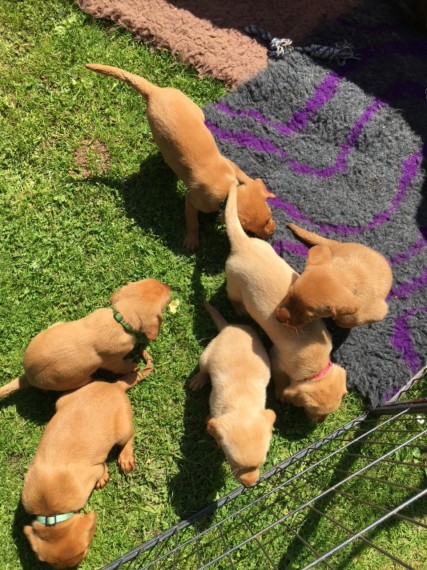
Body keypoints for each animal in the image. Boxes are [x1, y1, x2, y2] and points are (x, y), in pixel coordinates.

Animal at [0, 278, 171, 398]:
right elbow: (123, 366)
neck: (119, 319)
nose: (167, 285)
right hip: (80, 380)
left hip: (56, 325)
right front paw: (133, 366)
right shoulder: (114, 361)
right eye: (166, 298)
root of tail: (28, 377)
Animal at [21, 370, 144, 564]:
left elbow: (101, 468)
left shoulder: (91, 473)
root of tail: (114, 386)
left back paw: (125, 457)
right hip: (62, 402)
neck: (51, 513)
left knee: (130, 437)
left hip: (123, 429)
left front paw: (103, 477)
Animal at [85, 63, 276, 250]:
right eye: (254, 228)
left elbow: (244, 175)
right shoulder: (193, 201)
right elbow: (192, 222)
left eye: (269, 216)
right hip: (157, 128)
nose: (272, 232)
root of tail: (155, 92)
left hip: (190, 105)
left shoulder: (230, 165)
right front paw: (192, 239)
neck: (228, 189)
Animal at [189, 298, 276, 484]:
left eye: (261, 463)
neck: (242, 404)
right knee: (203, 369)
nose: (250, 484)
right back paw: (199, 380)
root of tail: (229, 327)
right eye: (234, 462)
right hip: (206, 355)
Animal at [224, 184, 348, 420]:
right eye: (314, 412)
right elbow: (281, 379)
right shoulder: (277, 359)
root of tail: (242, 244)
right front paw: (282, 394)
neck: (317, 365)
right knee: (232, 297)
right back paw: (239, 309)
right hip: (233, 283)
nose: (318, 424)